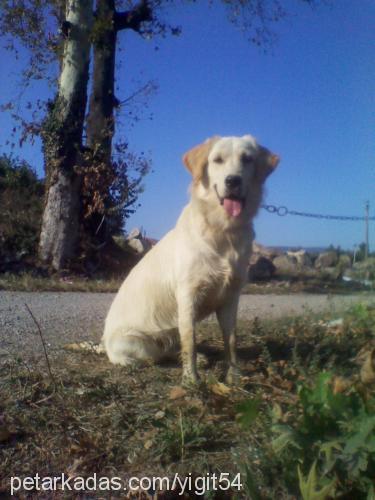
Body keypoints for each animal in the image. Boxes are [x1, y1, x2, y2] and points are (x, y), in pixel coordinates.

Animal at [103, 134, 280, 382]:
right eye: (217, 160)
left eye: (247, 159)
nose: (233, 181)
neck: (223, 230)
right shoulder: (188, 295)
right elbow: (191, 341)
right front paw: (191, 380)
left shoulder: (231, 296)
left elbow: (231, 339)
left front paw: (233, 375)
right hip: (136, 342)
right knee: (155, 357)